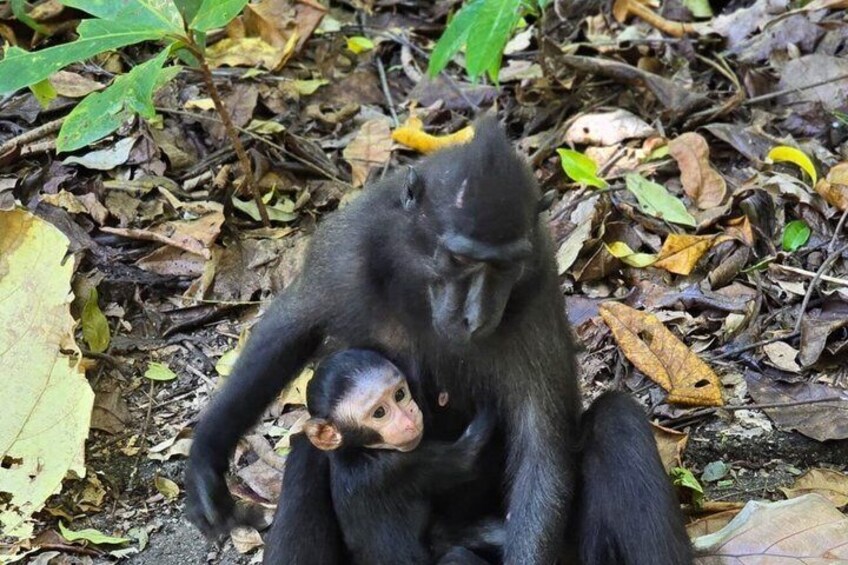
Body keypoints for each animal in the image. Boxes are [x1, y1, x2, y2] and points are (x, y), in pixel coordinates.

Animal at [302, 349, 500, 565]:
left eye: (399, 395)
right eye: (379, 412)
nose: (409, 415)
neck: (357, 450)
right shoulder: (392, 468)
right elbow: (467, 459)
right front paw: (488, 402)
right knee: (456, 557)